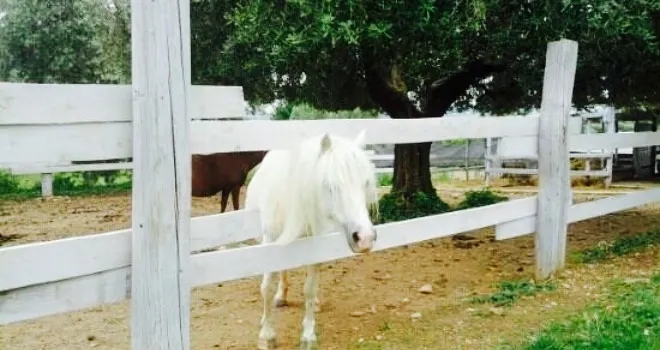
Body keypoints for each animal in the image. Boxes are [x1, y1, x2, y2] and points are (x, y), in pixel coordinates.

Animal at [245, 130, 378, 348]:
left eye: (365, 183)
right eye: (330, 186)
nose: (365, 238)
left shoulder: (313, 248)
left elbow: (309, 289)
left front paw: (308, 335)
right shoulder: (270, 244)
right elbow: (266, 288)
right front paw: (267, 334)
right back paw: (280, 298)